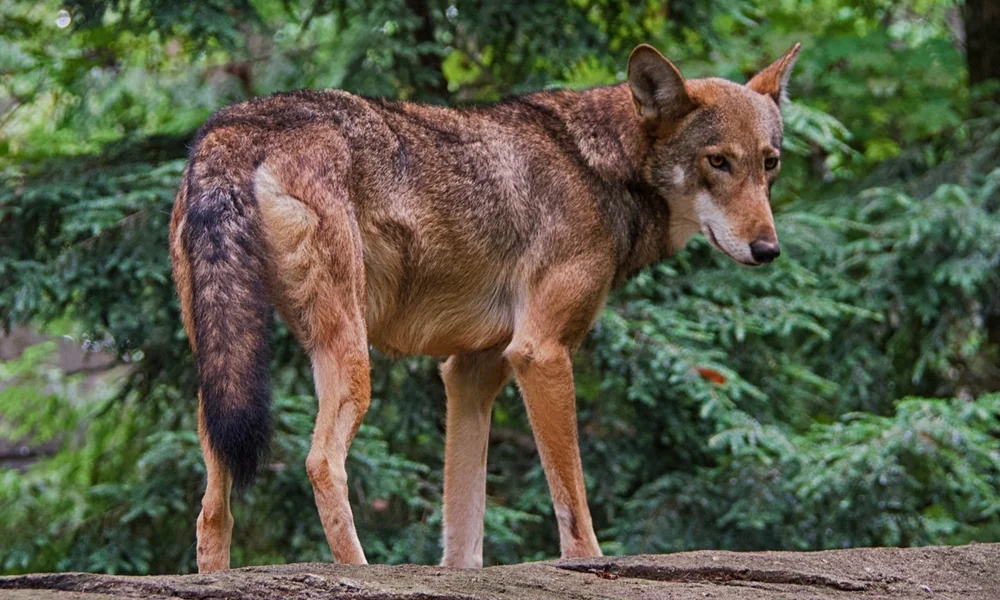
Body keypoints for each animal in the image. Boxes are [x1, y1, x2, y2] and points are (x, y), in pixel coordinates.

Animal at [169, 42, 800, 571]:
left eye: (769, 162)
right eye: (718, 162)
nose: (768, 250)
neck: (597, 164)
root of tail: (234, 127)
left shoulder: (471, 372)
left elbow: (464, 531)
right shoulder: (539, 354)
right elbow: (574, 510)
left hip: (223, 375)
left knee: (211, 509)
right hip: (347, 359)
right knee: (321, 462)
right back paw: (358, 571)